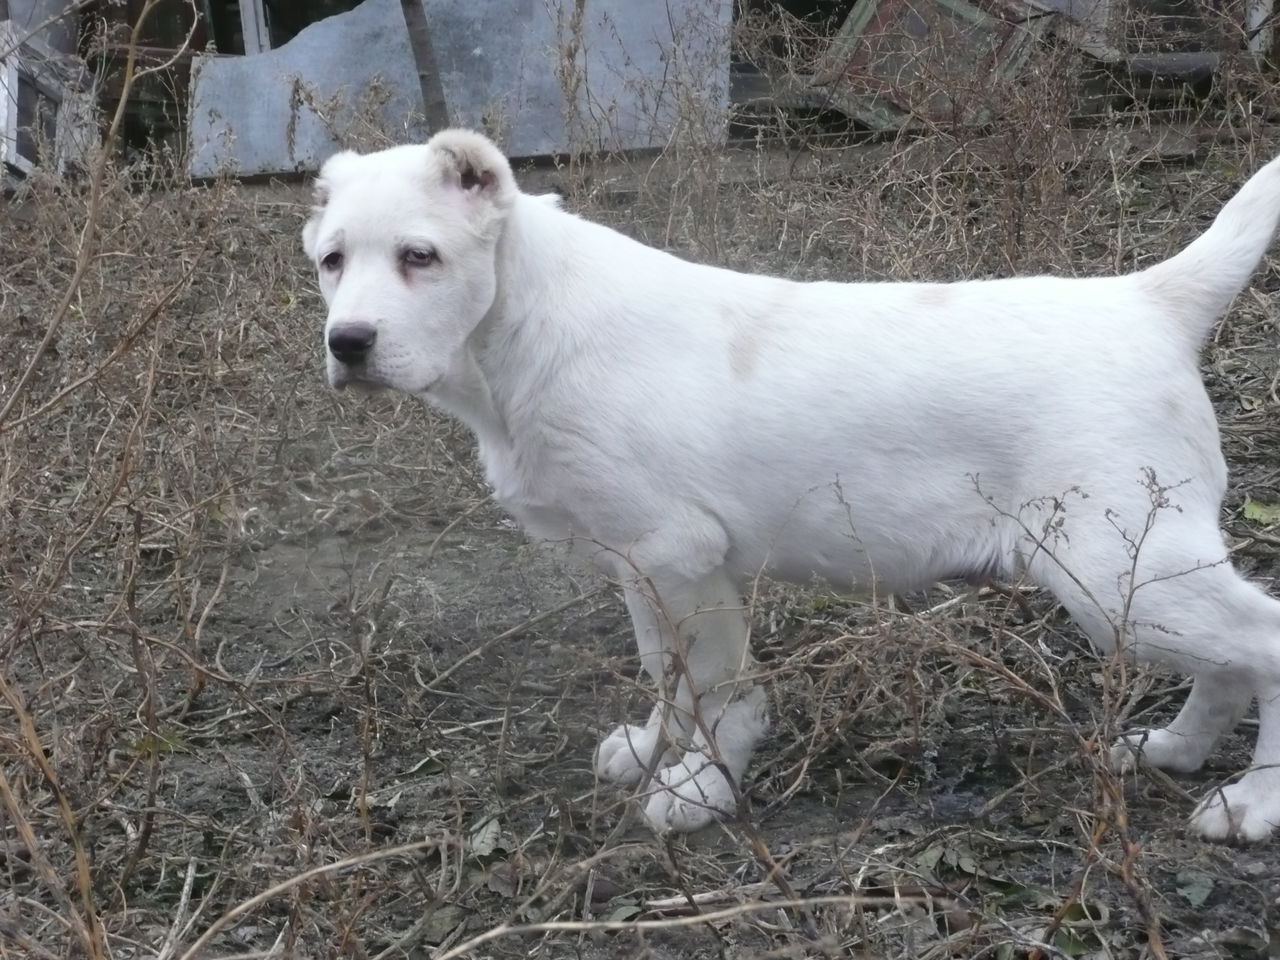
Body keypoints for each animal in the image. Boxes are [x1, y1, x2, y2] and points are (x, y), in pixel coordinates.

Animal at [304, 128, 1280, 839]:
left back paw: (1252, 805)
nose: (347, 344)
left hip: (1117, 573)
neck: (523, 323)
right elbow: (666, 673)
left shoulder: (681, 555)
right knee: (1230, 664)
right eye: (330, 261)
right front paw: (655, 749)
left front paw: (702, 786)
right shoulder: (645, 565)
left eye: (421, 256)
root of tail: (1151, 302)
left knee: (1262, 643)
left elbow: (715, 688)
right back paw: (1177, 750)